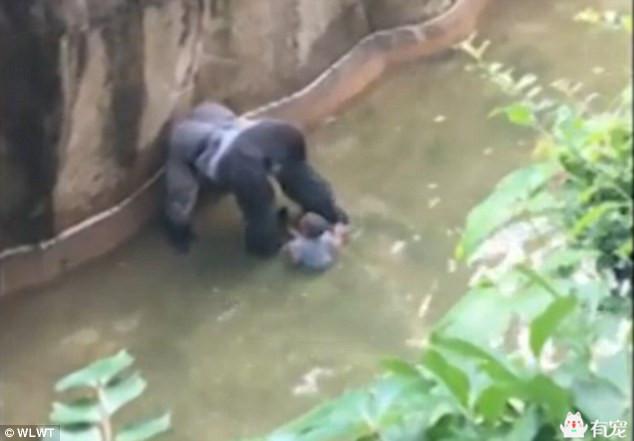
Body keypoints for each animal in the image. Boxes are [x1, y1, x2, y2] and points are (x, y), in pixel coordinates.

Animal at [163, 102, 346, 256]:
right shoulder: (249, 166)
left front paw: (331, 212)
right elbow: (261, 212)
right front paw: (271, 245)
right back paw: (178, 233)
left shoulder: (287, 152)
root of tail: (184, 120)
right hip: (179, 147)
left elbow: (300, 184)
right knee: (182, 201)